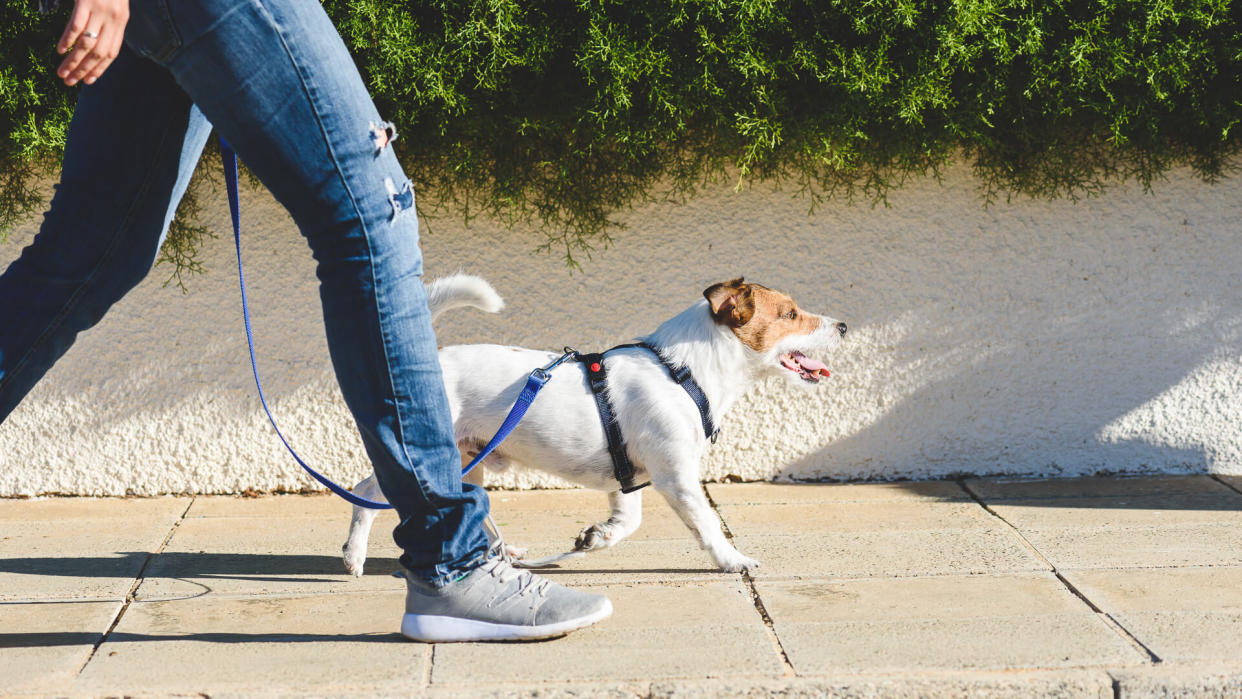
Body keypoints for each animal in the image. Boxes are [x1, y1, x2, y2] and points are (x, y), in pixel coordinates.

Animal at [340, 273, 844, 573]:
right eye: (791, 314)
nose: (842, 326)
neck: (684, 371)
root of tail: (431, 361)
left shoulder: (629, 478)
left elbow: (627, 522)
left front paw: (595, 538)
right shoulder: (677, 477)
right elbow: (707, 525)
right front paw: (732, 559)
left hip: (469, 460)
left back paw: (503, 554)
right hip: (427, 456)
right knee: (366, 493)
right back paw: (355, 556)